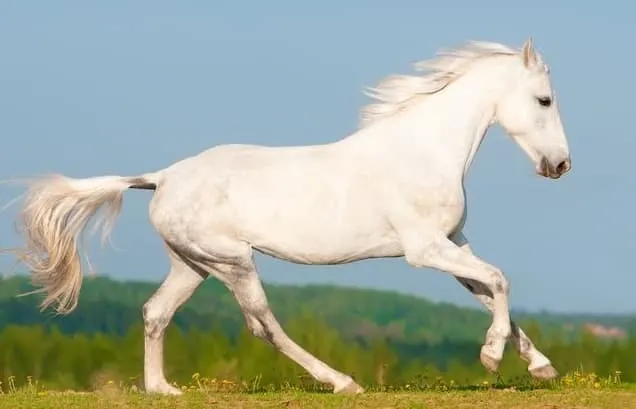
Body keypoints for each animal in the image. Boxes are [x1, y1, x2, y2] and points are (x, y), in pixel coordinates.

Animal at [4, 37, 572, 392]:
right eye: (544, 100)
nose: (561, 165)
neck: (423, 151)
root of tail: (163, 177)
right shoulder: (424, 249)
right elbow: (499, 281)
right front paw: (492, 358)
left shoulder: (454, 242)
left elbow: (490, 291)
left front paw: (541, 367)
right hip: (233, 262)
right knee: (263, 327)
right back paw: (342, 382)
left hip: (192, 265)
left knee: (155, 312)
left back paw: (162, 389)